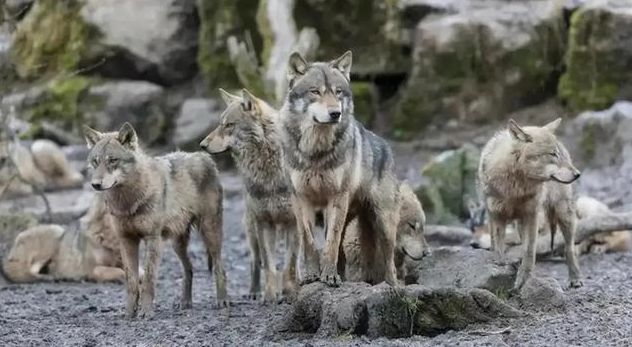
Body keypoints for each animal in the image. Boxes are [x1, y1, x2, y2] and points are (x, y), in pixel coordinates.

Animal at [80, 123, 226, 320]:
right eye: (96, 161)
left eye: (113, 160)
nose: (95, 184)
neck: (129, 201)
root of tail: (204, 156)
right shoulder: (127, 241)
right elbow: (132, 281)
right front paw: (129, 313)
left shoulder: (153, 239)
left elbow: (148, 279)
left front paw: (146, 312)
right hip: (177, 244)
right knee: (189, 269)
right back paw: (185, 303)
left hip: (210, 234)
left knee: (220, 268)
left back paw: (223, 302)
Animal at [202, 89, 302, 304]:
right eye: (220, 124)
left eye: (229, 125)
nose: (202, 145)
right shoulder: (263, 222)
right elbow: (269, 265)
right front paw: (270, 296)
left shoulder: (295, 222)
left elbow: (290, 263)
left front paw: (291, 293)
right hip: (252, 230)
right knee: (255, 262)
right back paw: (254, 292)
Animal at [282, 50, 400, 286]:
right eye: (315, 91)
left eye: (338, 92)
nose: (335, 113)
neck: (315, 152)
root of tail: (386, 146)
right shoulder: (301, 198)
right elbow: (309, 242)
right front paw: (312, 275)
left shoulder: (336, 198)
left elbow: (330, 242)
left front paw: (328, 275)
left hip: (383, 224)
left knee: (390, 265)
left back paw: (393, 288)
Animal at [478, 118, 584, 290]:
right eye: (552, 154)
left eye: (557, 154)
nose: (578, 174)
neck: (516, 188)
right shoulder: (497, 215)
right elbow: (498, 244)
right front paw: (499, 265)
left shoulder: (531, 215)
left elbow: (529, 251)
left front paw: (524, 278)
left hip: (563, 214)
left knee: (569, 248)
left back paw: (575, 278)